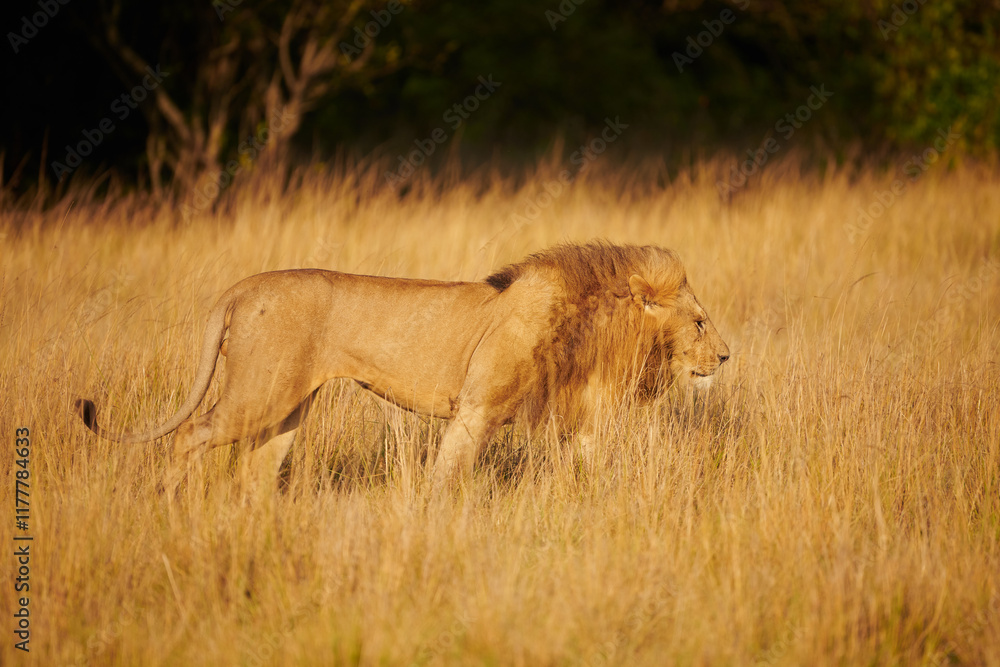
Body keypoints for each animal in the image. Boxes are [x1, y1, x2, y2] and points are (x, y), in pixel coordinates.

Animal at [75, 241, 729, 495]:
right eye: (699, 322)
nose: (726, 357)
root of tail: (240, 288)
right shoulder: (475, 412)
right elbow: (446, 479)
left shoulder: (579, 419)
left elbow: (591, 470)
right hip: (258, 393)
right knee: (191, 432)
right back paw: (166, 502)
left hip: (287, 406)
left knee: (254, 471)